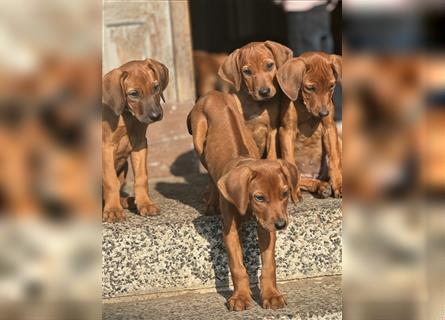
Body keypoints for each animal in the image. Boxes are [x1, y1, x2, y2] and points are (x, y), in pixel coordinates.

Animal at [102, 58, 168, 221]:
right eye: (134, 94)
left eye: (156, 87)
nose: (156, 116)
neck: (128, 116)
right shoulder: (106, 147)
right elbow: (110, 181)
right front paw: (113, 210)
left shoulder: (140, 144)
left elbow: (141, 177)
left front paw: (145, 204)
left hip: (124, 165)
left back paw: (127, 201)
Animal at [187, 92, 298, 310]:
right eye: (259, 197)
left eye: (284, 194)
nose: (281, 225)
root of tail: (213, 93)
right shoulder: (230, 231)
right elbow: (237, 266)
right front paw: (240, 297)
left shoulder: (266, 225)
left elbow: (269, 264)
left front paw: (271, 295)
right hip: (198, 138)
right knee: (209, 173)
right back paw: (211, 203)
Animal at [276, 52, 342, 198]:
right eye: (310, 88)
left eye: (331, 86)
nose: (324, 113)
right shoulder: (287, 131)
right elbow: (290, 161)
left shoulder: (330, 127)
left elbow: (335, 158)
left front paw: (339, 184)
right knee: (300, 178)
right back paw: (320, 186)